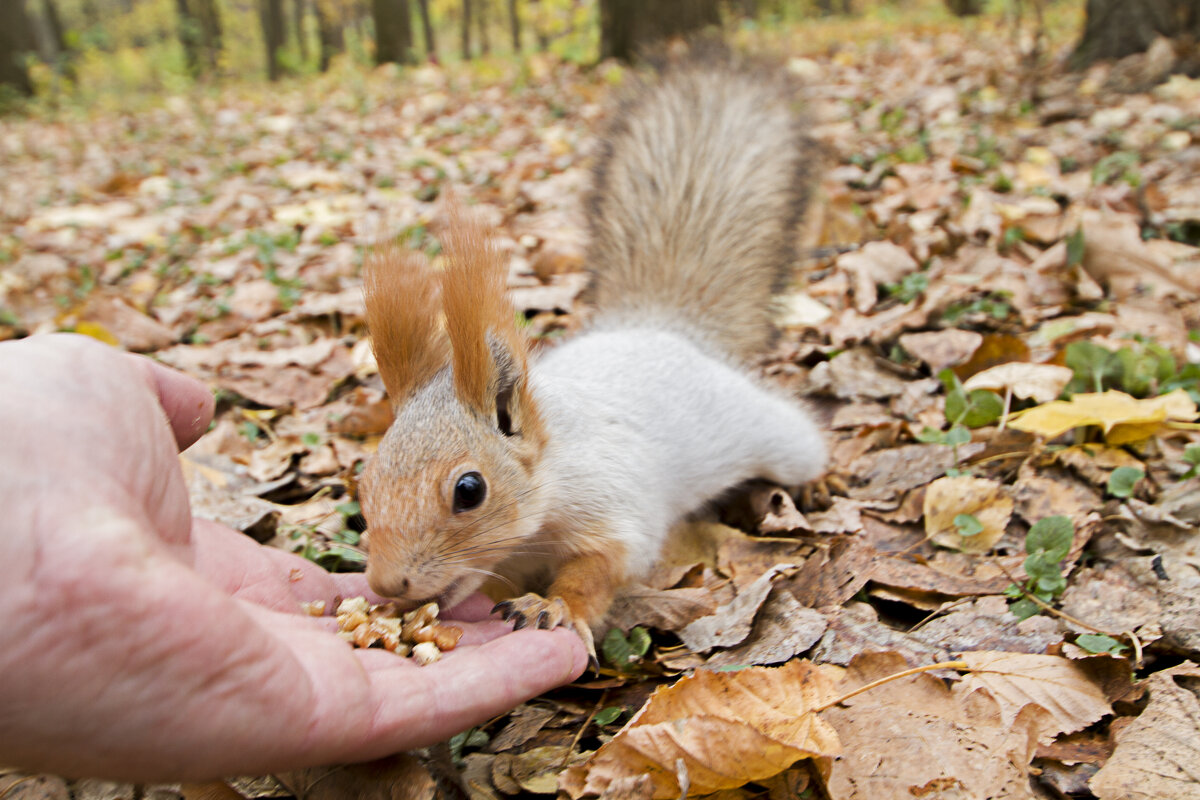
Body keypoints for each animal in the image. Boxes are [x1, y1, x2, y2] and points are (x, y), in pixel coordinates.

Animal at [355, 59, 825, 652]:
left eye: (469, 490)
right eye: (364, 484)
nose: (386, 583)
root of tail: (659, 326)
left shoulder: (616, 505)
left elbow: (601, 568)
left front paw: (552, 607)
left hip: (767, 432)